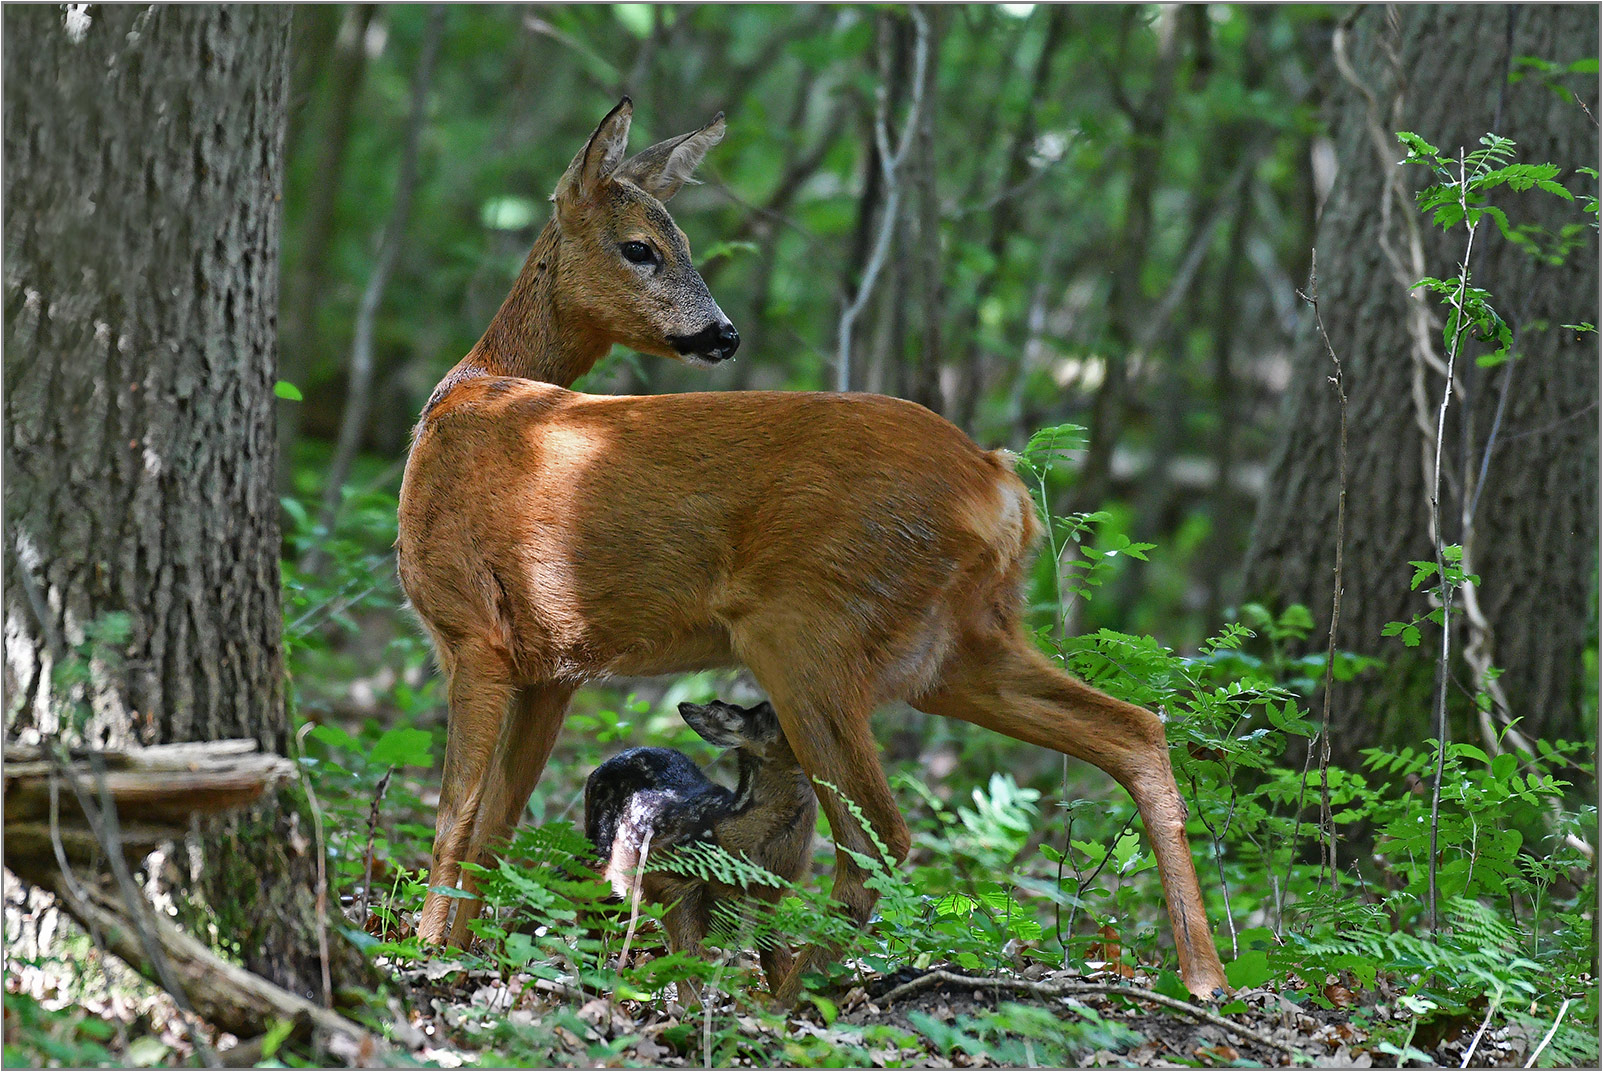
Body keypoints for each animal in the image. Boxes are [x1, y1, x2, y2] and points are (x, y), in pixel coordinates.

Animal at [397, 96, 1224, 999]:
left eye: (680, 243)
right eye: (641, 246)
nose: (721, 334)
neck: (469, 393)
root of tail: (999, 486)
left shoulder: (472, 629)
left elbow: (453, 819)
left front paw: (422, 957)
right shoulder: (556, 664)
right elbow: (497, 823)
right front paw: (460, 956)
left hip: (808, 629)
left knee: (878, 837)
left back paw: (794, 995)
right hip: (962, 644)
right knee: (1135, 729)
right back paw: (1204, 976)